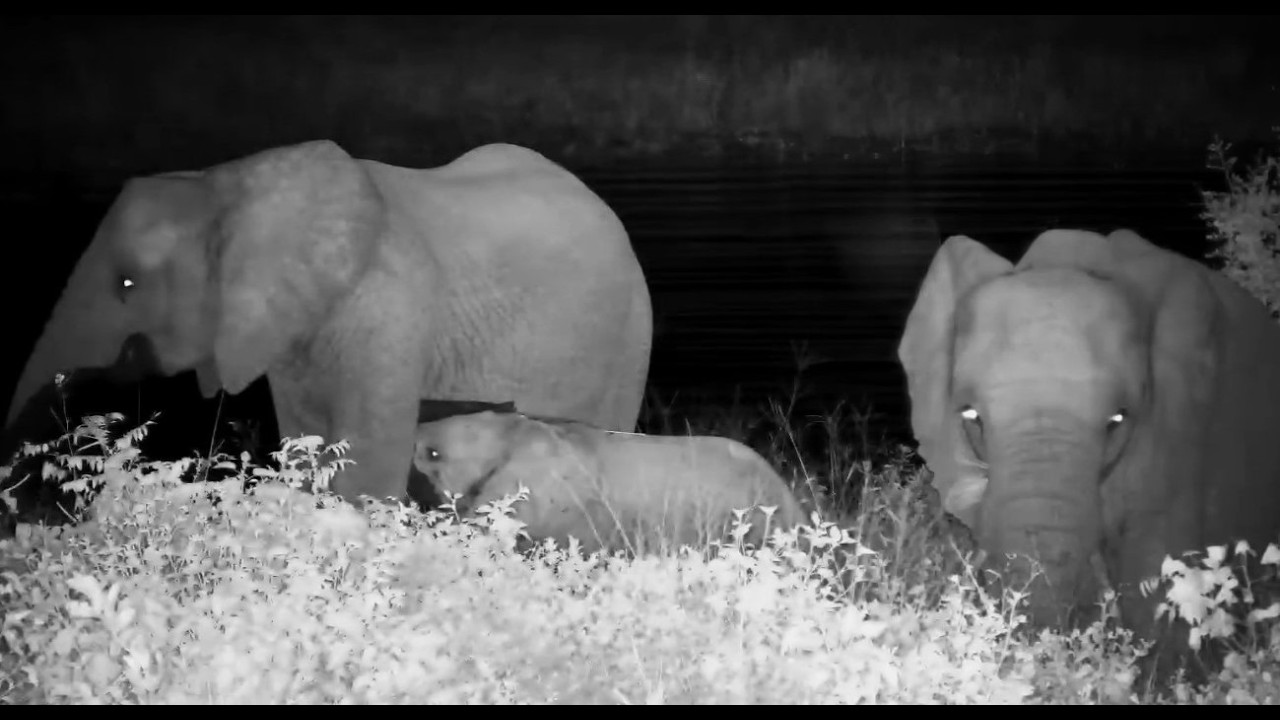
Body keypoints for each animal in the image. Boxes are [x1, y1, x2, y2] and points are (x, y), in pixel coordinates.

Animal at [4, 140, 653, 507]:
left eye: (127, 284)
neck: (230, 185)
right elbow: (309, 448)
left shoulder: (389, 312)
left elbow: (366, 468)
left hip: (628, 342)